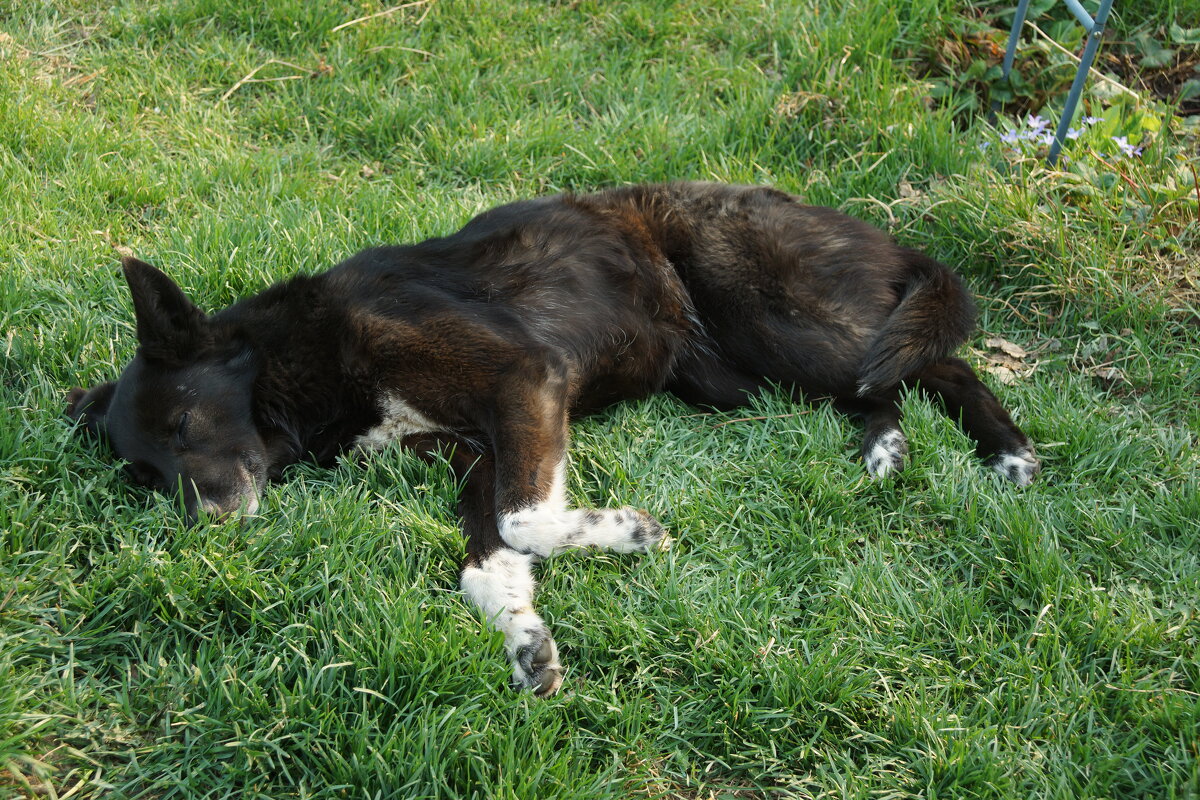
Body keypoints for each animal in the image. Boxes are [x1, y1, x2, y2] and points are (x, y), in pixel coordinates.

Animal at [68, 181, 1041, 695]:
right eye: (146, 477)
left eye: (185, 424)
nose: (206, 534)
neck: (300, 359)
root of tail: (876, 234)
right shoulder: (478, 452)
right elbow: (485, 558)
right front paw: (524, 636)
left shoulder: (524, 380)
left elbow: (524, 519)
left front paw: (630, 532)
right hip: (738, 378)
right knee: (881, 387)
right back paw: (885, 447)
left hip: (778, 321)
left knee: (938, 363)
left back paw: (1007, 452)